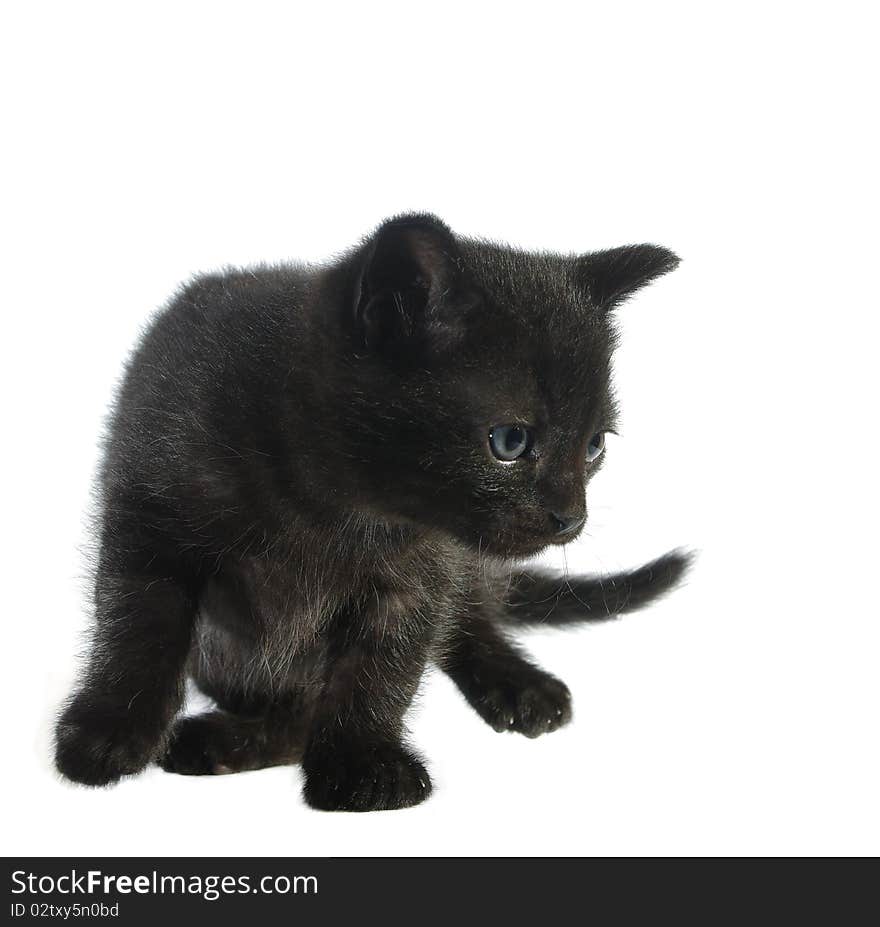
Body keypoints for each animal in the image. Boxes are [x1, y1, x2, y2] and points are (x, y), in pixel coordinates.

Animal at [56, 214, 688, 808]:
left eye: (595, 446)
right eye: (510, 441)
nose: (570, 518)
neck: (330, 506)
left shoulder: (418, 577)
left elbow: (382, 667)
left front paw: (362, 763)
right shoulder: (148, 521)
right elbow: (139, 628)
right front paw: (107, 733)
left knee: (467, 619)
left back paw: (517, 685)